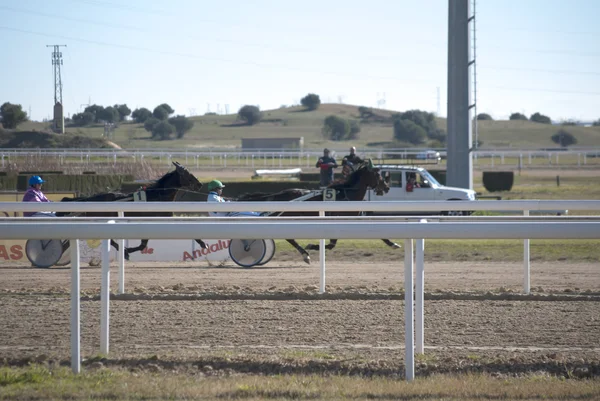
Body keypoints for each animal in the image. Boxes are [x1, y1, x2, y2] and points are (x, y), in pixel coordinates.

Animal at [56, 161, 209, 258]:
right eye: (187, 174)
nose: (200, 184)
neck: (158, 196)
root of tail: (92, 199)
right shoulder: (162, 219)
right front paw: (203, 243)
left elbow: (143, 244)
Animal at [237, 159, 396, 262]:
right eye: (377, 174)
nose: (386, 187)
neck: (346, 195)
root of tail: (280, 194)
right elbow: (331, 245)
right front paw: (312, 246)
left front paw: (393, 243)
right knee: (289, 238)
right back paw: (304, 254)